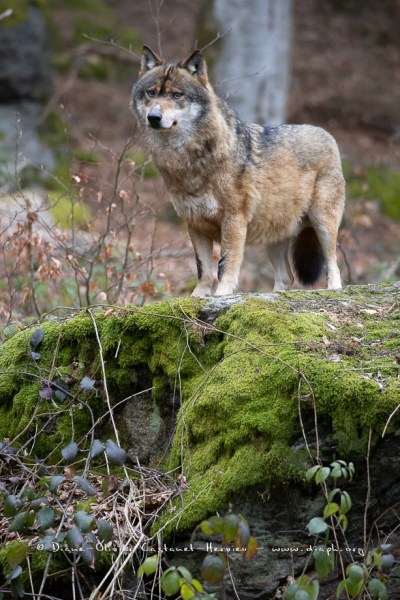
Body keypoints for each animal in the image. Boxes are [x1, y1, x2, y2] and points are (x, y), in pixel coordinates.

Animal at [130, 45, 346, 296]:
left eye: (176, 95)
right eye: (151, 93)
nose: (153, 117)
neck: (190, 163)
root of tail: (328, 135)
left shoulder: (233, 220)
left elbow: (225, 264)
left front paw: (221, 295)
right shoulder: (195, 224)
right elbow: (203, 269)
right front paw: (197, 296)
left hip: (323, 224)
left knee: (333, 264)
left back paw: (333, 289)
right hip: (274, 239)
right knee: (287, 276)